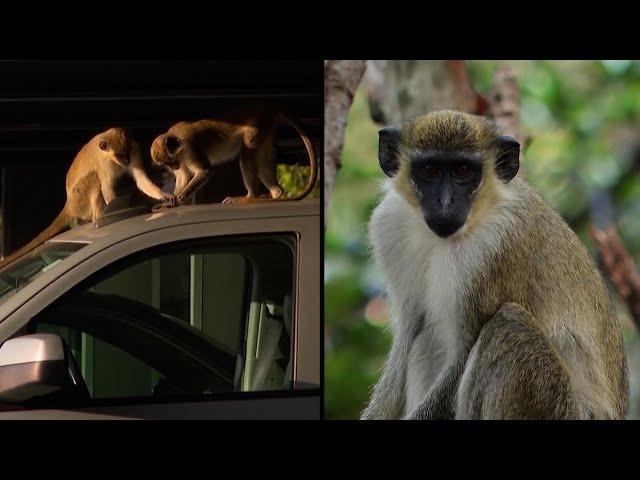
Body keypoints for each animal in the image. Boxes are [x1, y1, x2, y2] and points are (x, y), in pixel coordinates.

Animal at [0, 127, 175, 266]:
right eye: (119, 155)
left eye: (127, 152)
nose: (126, 161)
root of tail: (69, 206)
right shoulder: (103, 163)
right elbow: (107, 188)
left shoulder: (135, 150)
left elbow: (141, 180)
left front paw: (163, 195)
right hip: (80, 200)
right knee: (94, 178)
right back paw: (97, 216)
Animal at [151, 105, 320, 204]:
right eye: (167, 164)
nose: (174, 166)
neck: (176, 140)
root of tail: (267, 108)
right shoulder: (183, 158)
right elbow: (183, 175)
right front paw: (171, 200)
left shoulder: (190, 148)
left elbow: (204, 171)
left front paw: (180, 197)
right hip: (266, 132)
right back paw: (276, 193)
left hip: (258, 128)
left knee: (246, 153)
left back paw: (250, 197)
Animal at [362, 110, 628, 418]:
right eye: (430, 170)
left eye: (463, 171)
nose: (445, 203)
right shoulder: (389, 224)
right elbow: (408, 336)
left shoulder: (491, 250)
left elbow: (461, 358)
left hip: (557, 405)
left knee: (508, 326)